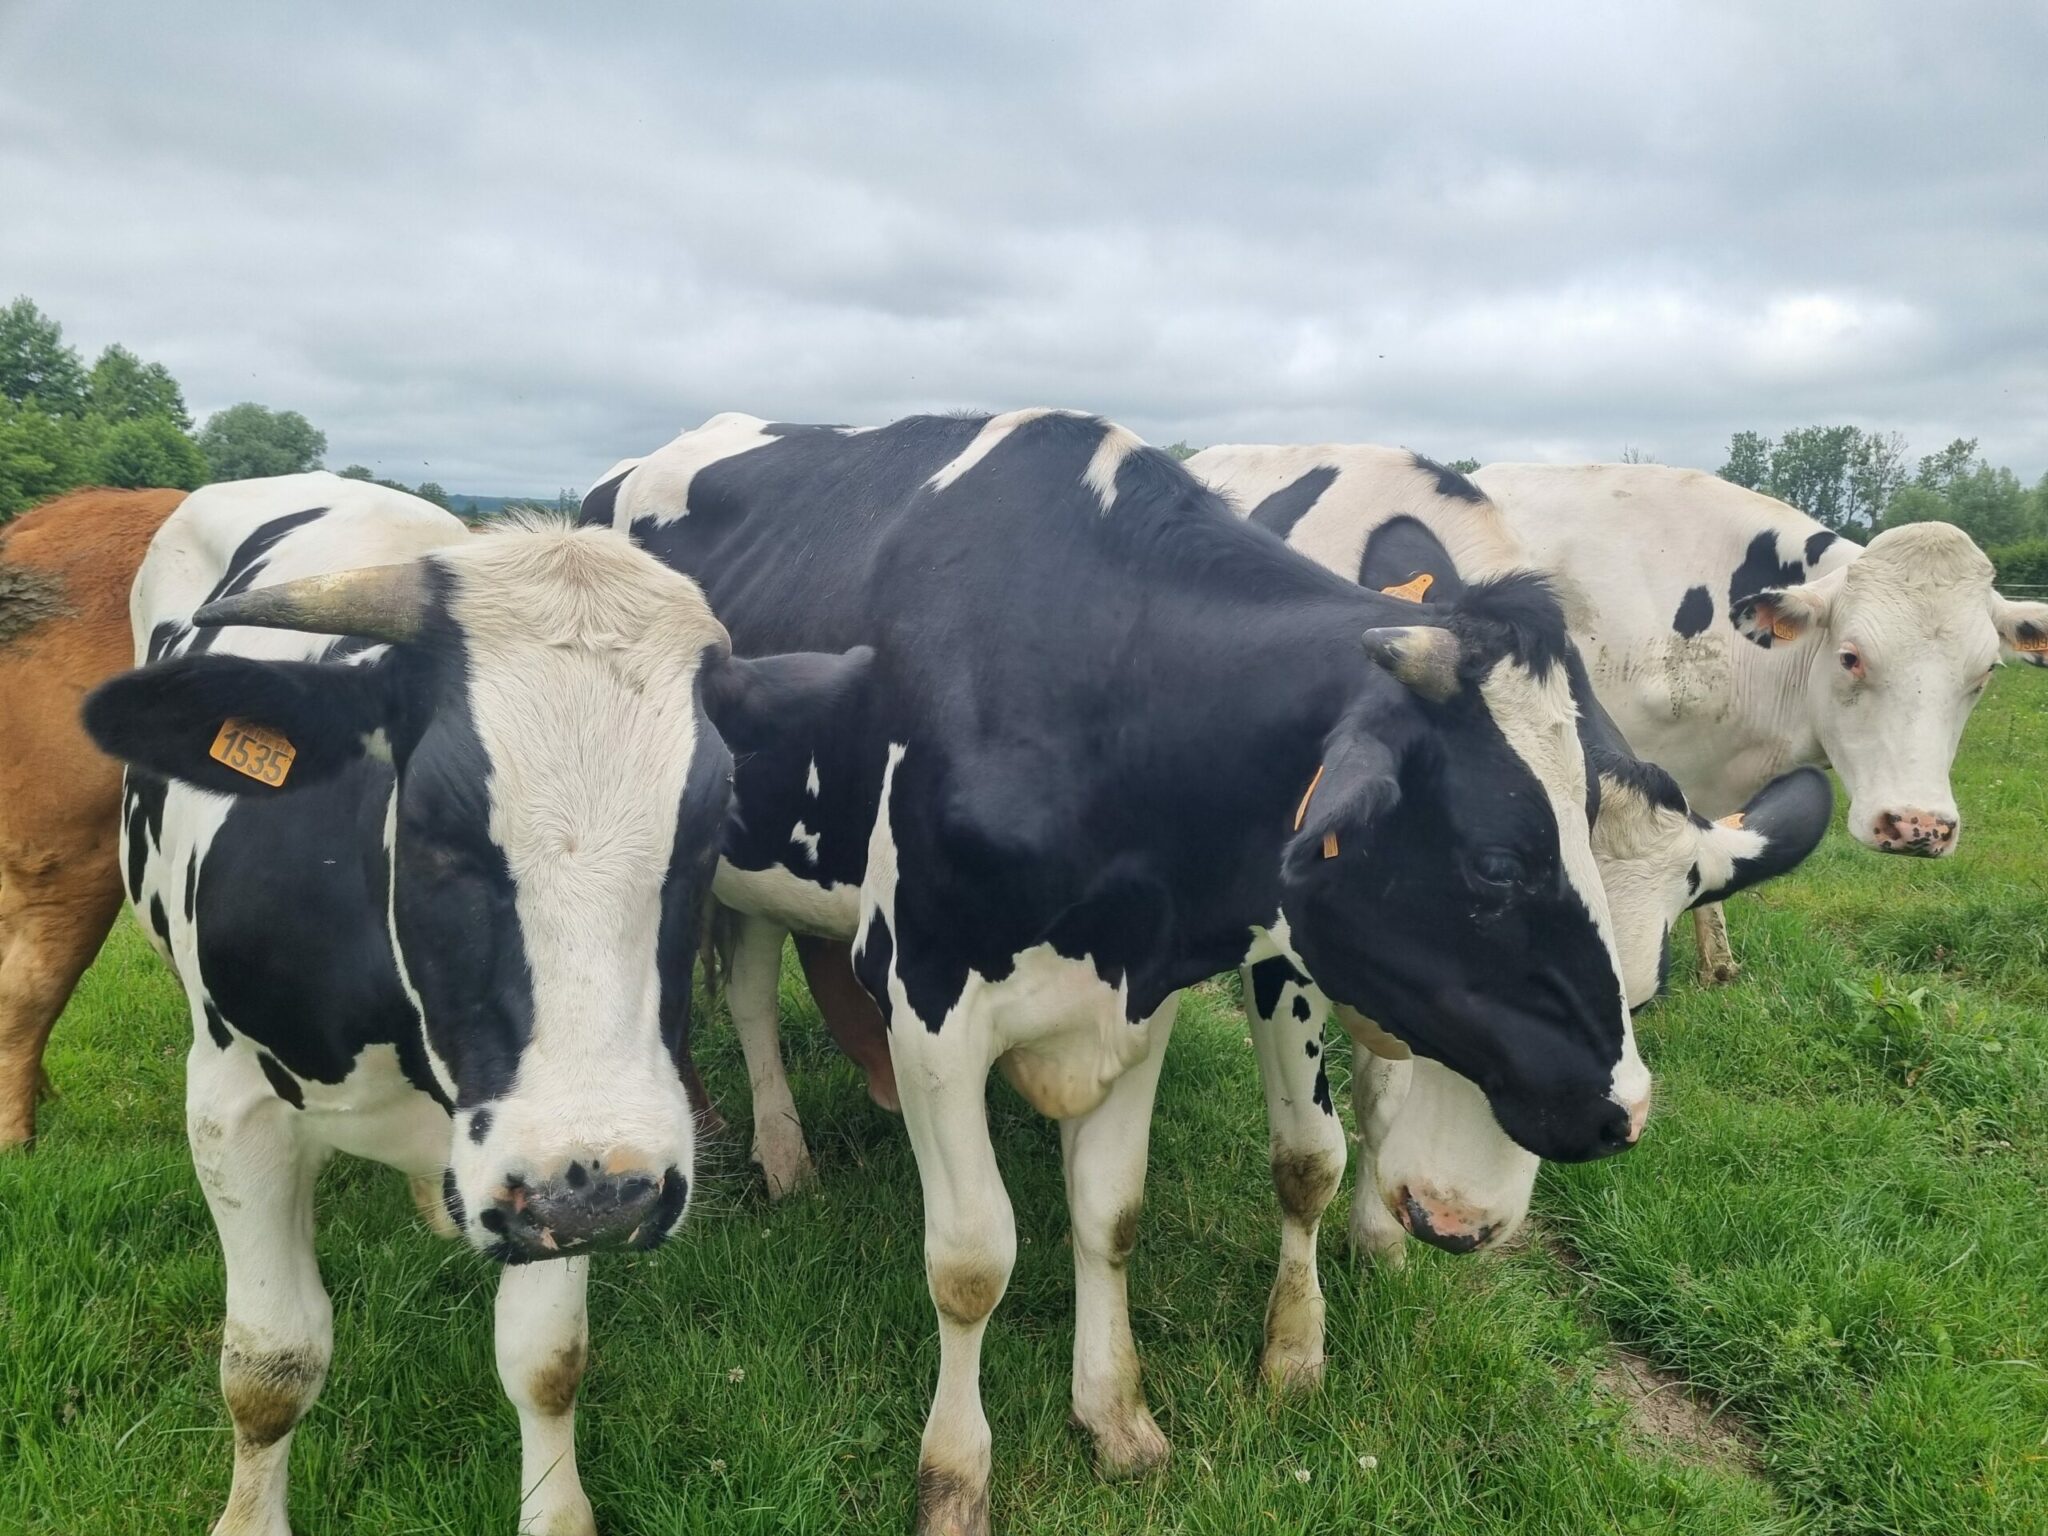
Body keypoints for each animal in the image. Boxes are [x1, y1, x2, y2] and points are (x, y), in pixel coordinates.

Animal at [82, 472, 853, 1536]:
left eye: (708, 825)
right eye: (436, 822)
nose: (609, 1194)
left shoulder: (555, 1169)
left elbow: (548, 1360)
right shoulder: (231, 1109)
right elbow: (271, 1364)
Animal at [584, 409, 1647, 1536]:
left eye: (1588, 812)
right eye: (1497, 863)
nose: (1624, 1109)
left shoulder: (1137, 996)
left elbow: (1110, 1214)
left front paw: (1114, 1415)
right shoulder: (929, 1005)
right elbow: (971, 1262)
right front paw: (953, 1478)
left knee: (749, 979)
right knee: (741, 1001)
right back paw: (778, 1153)